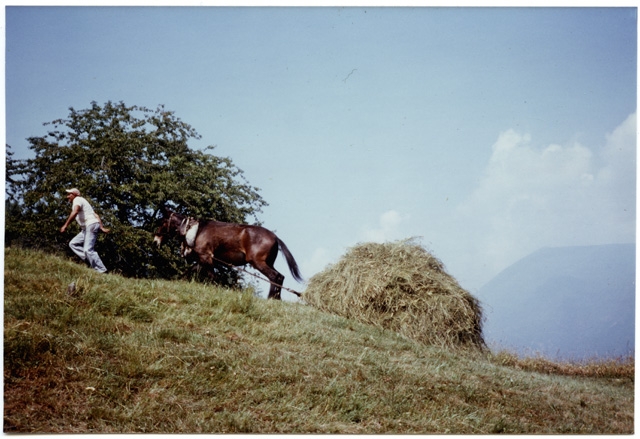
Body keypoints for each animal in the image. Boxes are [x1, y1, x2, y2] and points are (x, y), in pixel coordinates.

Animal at [153, 209, 303, 300]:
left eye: (162, 221)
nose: (155, 241)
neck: (196, 231)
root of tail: (275, 238)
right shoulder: (203, 259)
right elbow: (189, 271)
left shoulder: (206, 257)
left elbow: (212, 276)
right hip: (267, 262)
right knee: (280, 277)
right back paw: (276, 298)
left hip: (258, 262)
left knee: (274, 276)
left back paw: (271, 298)